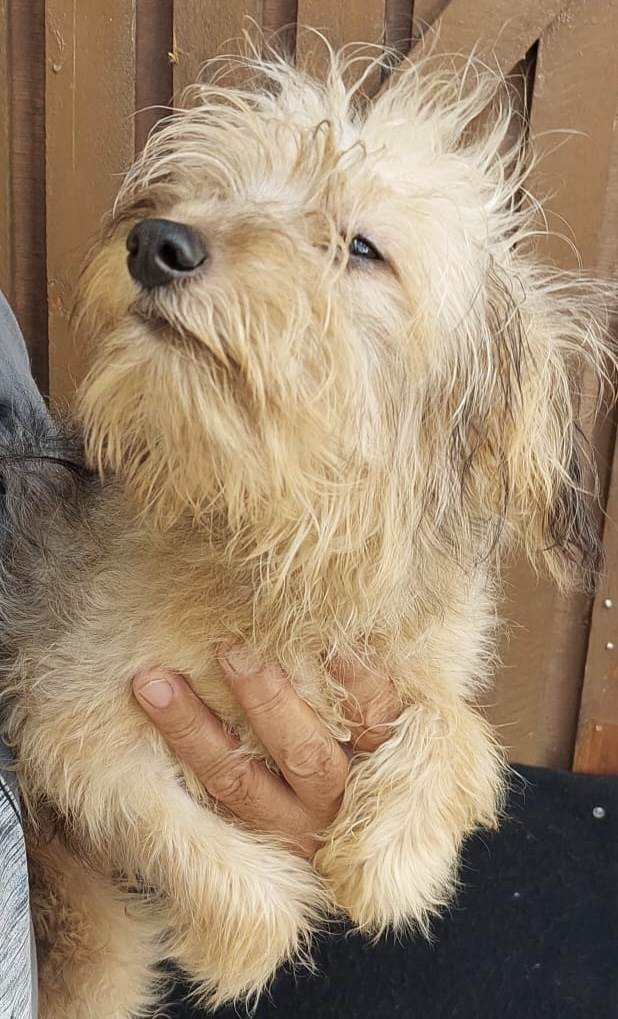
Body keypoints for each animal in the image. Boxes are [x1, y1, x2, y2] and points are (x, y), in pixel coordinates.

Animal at [0, 42, 615, 1018]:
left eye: (362, 247)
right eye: (209, 191)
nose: (155, 242)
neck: (286, 537)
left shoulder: (413, 669)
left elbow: (461, 732)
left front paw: (394, 856)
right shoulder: (68, 706)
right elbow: (185, 835)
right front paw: (243, 943)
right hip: (98, 951)